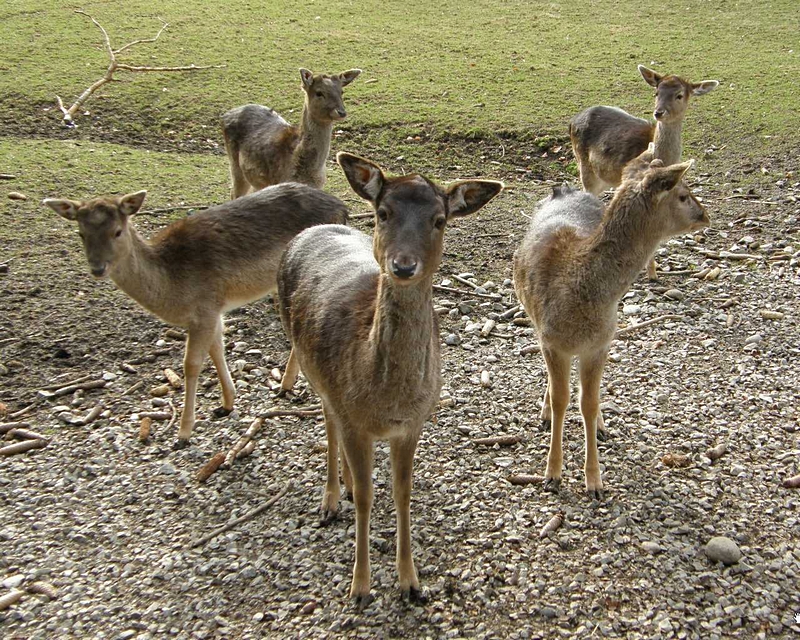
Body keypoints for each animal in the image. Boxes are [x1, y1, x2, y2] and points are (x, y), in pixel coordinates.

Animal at [41, 182, 346, 448]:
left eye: (117, 231)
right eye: (81, 233)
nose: (98, 268)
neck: (171, 284)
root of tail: (342, 207)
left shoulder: (204, 307)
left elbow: (191, 364)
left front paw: (183, 434)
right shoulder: (213, 310)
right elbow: (217, 349)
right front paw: (226, 404)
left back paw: (286, 384)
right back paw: (285, 384)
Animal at [220, 67, 360, 198]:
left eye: (341, 91)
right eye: (319, 93)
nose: (341, 112)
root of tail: (225, 115)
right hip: (235, 165)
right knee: (234, 193)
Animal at [276, 152, 500, 604]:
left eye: (439, 220)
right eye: (383, 213)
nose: (403, 265)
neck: (387, 399)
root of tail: (310, 231)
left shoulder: (412, 423)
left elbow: (402, 492)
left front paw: (411, 582)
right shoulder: (352, 415)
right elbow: (366, 496)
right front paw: (360, 587)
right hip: (311, 367)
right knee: (327, 422)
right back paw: (331, 499)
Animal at [512, 154, 708, 500]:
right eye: (683, 195)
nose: (706, 215)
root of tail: (563, 189)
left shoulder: (601, 343)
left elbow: (588, 404)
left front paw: (594, 481)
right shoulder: (552, 341)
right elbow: (562, 400)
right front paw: (552, 474)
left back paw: (600, 424)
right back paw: (545, 413)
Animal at [568, 63, 720, 280]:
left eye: (680, 95)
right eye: (657, 92)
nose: (659, 112)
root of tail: (572, 121)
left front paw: (654, 274)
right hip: (585, 167)